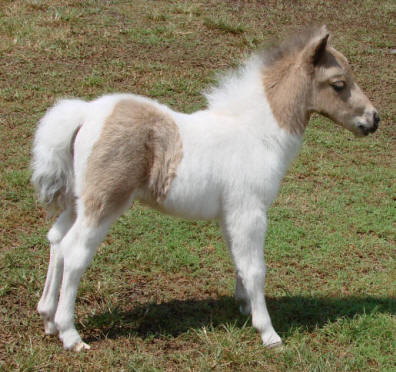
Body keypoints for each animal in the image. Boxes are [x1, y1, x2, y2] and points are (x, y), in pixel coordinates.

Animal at [31, 26, 378, 352]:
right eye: (338, 84)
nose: (374, 119)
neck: (257, 133)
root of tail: (86, 113)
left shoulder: (231, 213)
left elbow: (239, 261)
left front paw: (244, 306)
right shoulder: (249, 211)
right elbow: (255, 269)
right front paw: (268, 333)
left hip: (77, 201)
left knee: (56, 240)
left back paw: (47, 318)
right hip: (104, 203)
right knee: (74, 250)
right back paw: (70, 334)